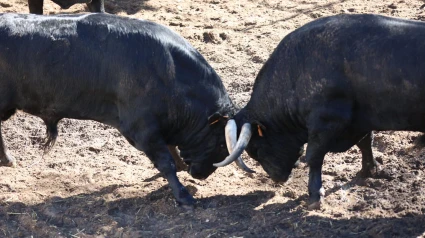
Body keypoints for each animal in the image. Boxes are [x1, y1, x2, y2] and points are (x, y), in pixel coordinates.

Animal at [0, 12, 235, 206]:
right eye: (221, 143)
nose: (203, 174)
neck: (171, 74)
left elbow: (171, 149)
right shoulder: (141, 128)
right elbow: (165, 162)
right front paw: (183, 196)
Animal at [214, 13, 424, 209]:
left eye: (255, 149)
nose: (277, 178)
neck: (295, 72)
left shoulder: (326, 121)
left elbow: (314, 155)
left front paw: (315, 195)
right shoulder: (359, 122)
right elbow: (365, 143)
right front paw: (368, 171)